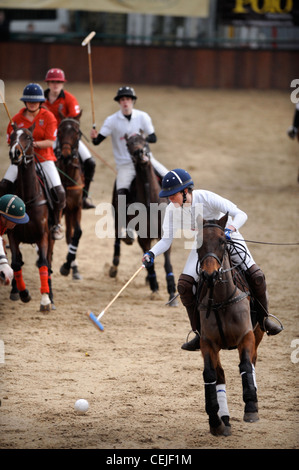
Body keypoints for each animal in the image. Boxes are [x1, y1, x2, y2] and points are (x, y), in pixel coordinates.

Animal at [7, 124, 54, 312]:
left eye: (29, 137)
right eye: (12, 136)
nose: (15, 153)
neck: (27, 198)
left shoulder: (43, 235)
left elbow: (43, 262)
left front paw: (46, 300)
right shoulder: (12, 235)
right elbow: (15, 263)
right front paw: (23, 293)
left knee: (48, 263)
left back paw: (51, 294)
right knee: (18, 260)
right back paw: (15, 290)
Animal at [110, 131, 178, 304]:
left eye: (145, 140)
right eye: (128, 145)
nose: (140, 153)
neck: (150, 199)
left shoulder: (163, 232)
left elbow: (167, 263)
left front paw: (171, 292)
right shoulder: (143, 236)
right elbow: (150, 261)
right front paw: (155, 289)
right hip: (116, 213)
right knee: (117, 237)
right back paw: (114, 266)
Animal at [196, 215, 264, 436]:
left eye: (222, 241)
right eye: (198, 241)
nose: (210, 275)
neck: (221, 300)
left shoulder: (246, 335)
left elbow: (245, 364)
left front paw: (250, 408)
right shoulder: (207, 343)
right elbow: (210, 374)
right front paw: (214, 420)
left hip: (258, 332)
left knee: (252, 361)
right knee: (220, 375)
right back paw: (224, 419)